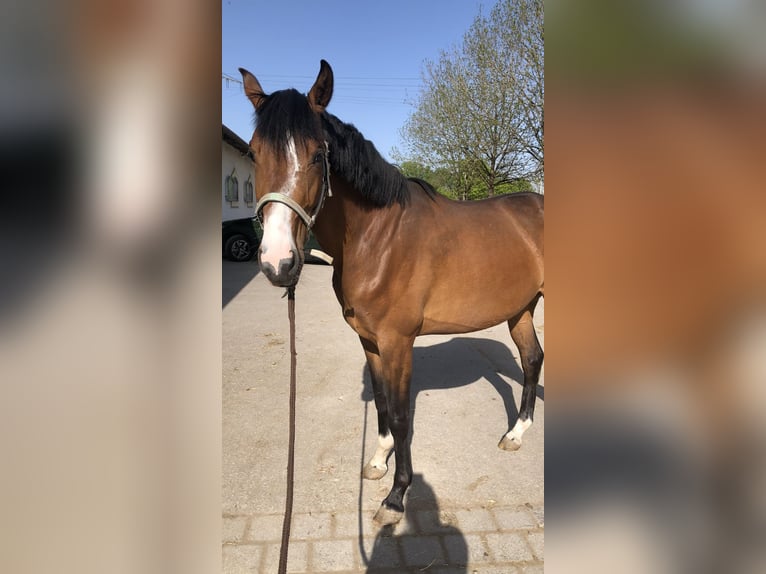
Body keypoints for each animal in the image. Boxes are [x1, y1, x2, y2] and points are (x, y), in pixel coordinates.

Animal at [240, 62, 544, 528]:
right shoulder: (369, 340)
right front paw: (378, 462)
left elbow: (401, 416)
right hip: (521, 309)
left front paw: (397, 496)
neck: (377, 238)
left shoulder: (398, 342)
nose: (278, 262)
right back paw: (515, 433)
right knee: (531, 360)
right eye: (254, 153)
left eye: (317, 155)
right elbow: (382, 403)